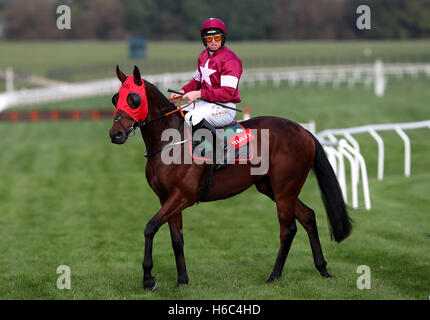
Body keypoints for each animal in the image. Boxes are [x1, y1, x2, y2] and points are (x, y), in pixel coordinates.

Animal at [109, 65, 352, 290]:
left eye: (133, 99)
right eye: (115, 98)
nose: (115, 134)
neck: (170, 142)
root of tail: (304, 131)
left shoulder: (183, 196)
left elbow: (150, 227)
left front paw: (148, 278)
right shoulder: (166, 198)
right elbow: (176, 239)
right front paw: (182, 281)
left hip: (285, 189)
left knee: (288, 229)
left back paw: (274, 275)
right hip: (271, 188)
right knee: (308, 216)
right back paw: (322, 269)